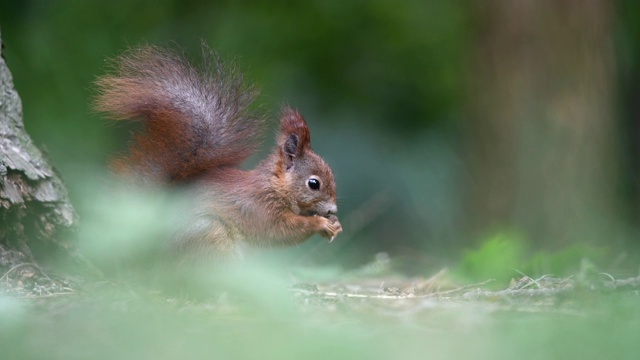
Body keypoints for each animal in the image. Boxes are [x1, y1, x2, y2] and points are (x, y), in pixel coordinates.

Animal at [94, 45, 342, 258]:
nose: (333, 209)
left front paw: (336, 225)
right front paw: (320, 224)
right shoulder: (259, 209)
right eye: (313, 183)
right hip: (210, 233)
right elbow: (282, 231)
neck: (273, 186)